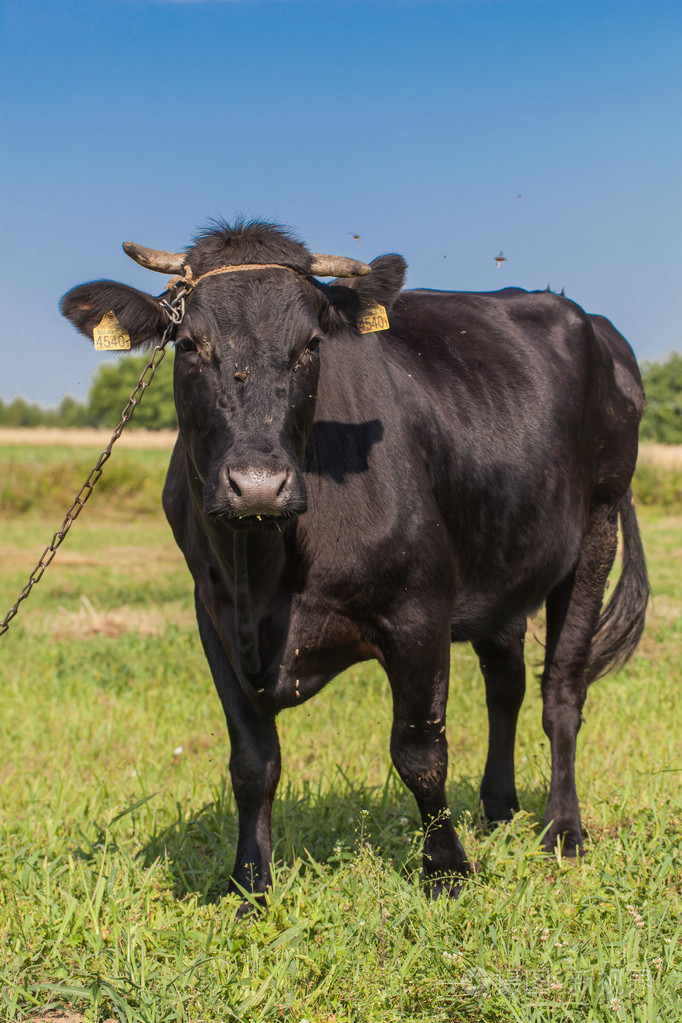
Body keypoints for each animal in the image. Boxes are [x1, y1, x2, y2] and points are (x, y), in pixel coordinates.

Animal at [61, 219, 650, 908]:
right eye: (188, 345)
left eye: (311, 345)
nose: (257, 486)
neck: (265, 572)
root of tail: (594, 325)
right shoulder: (214, 620)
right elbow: (252, 762)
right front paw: (249, 883)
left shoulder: (419, 608)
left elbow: (420, 750)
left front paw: (447, 870)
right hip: (502, 560)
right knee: (506, 682)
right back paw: (498, 808)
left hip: (595, 532)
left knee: (561, 692)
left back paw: (562, 828)